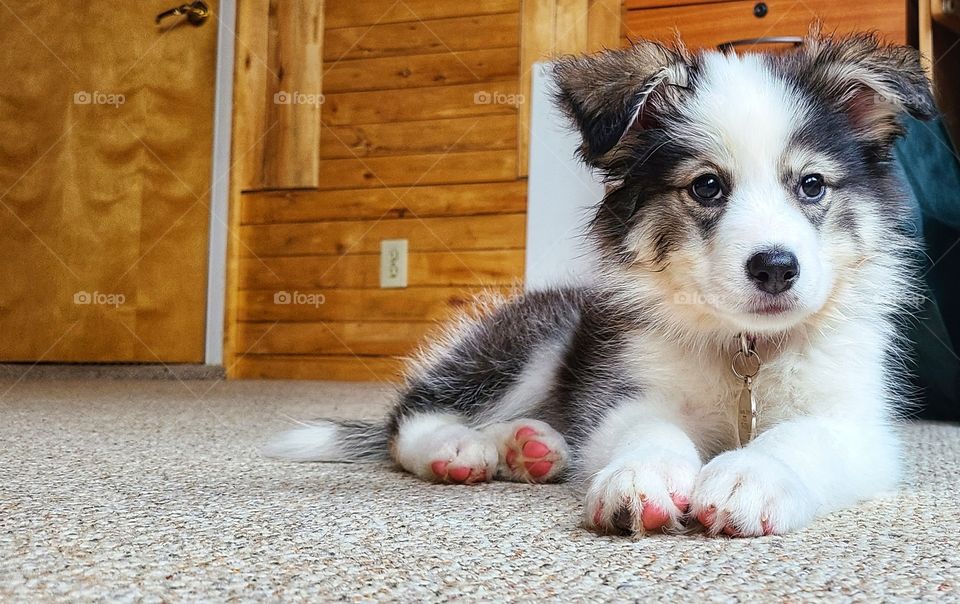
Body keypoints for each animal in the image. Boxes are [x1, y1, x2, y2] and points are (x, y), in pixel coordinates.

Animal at [262, 29, 928, 536]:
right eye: (707, 186)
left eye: (812, 185)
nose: (775, 267)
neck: (745, 349)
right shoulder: (626, 387)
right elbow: (647, 430)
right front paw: (643, 476)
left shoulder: (858, 423)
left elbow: (800, 438)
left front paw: (750, 476)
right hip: (536, 336)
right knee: (411, 416)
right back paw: (460, 449)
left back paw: (529, 447)